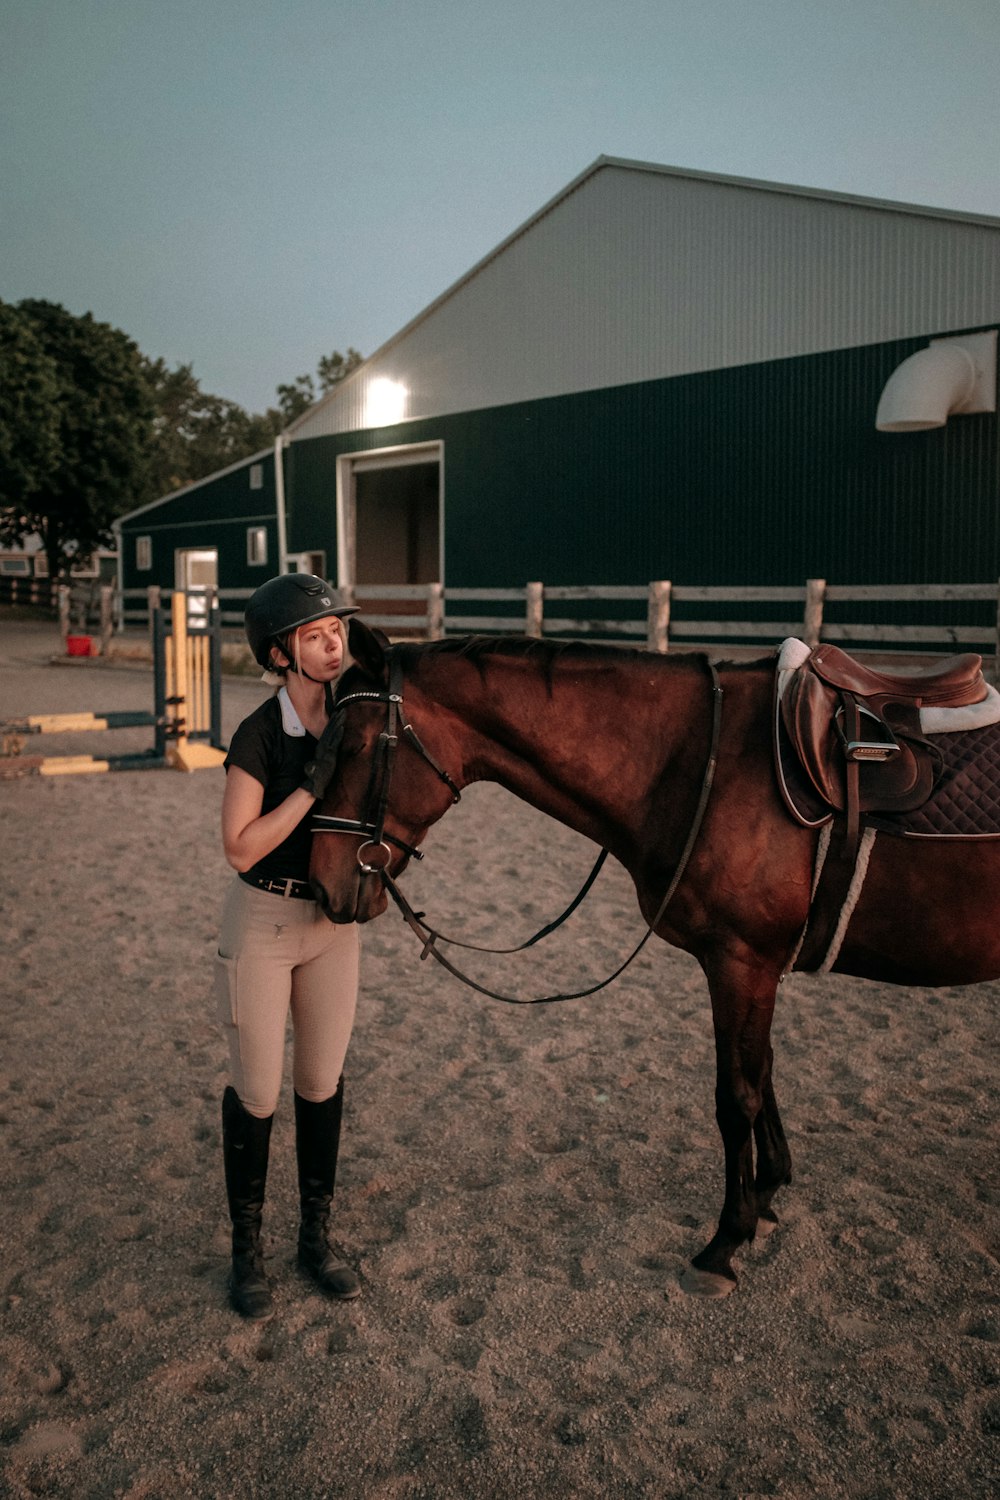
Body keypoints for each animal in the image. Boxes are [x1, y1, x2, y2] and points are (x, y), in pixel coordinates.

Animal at [308, 615, 995, 1296]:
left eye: (356, 747)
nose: (321, 883)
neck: (704, 763)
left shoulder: (740, 962)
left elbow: (736, 1096)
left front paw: (725, 1242)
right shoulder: (756, 968)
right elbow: (764, 1072)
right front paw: (768, 1191)